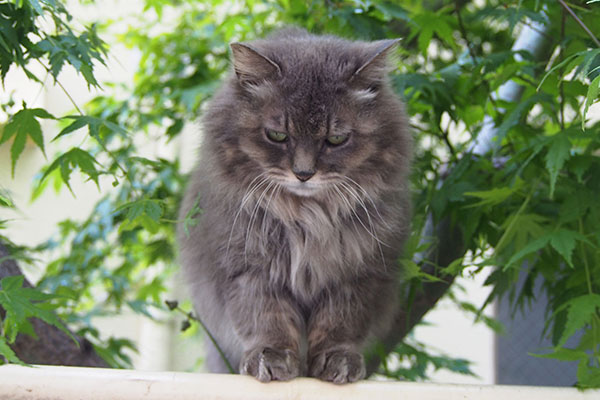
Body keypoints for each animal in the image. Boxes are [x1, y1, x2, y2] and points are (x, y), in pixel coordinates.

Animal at [177, 28, 412, 384]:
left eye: (336, 139)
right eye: (277, 135)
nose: (303, 173)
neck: (306, 216)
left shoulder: (357, 274)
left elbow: (339, 324)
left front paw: (337, 362)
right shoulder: (248, 268)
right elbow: (267, 319)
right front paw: (269, 358)